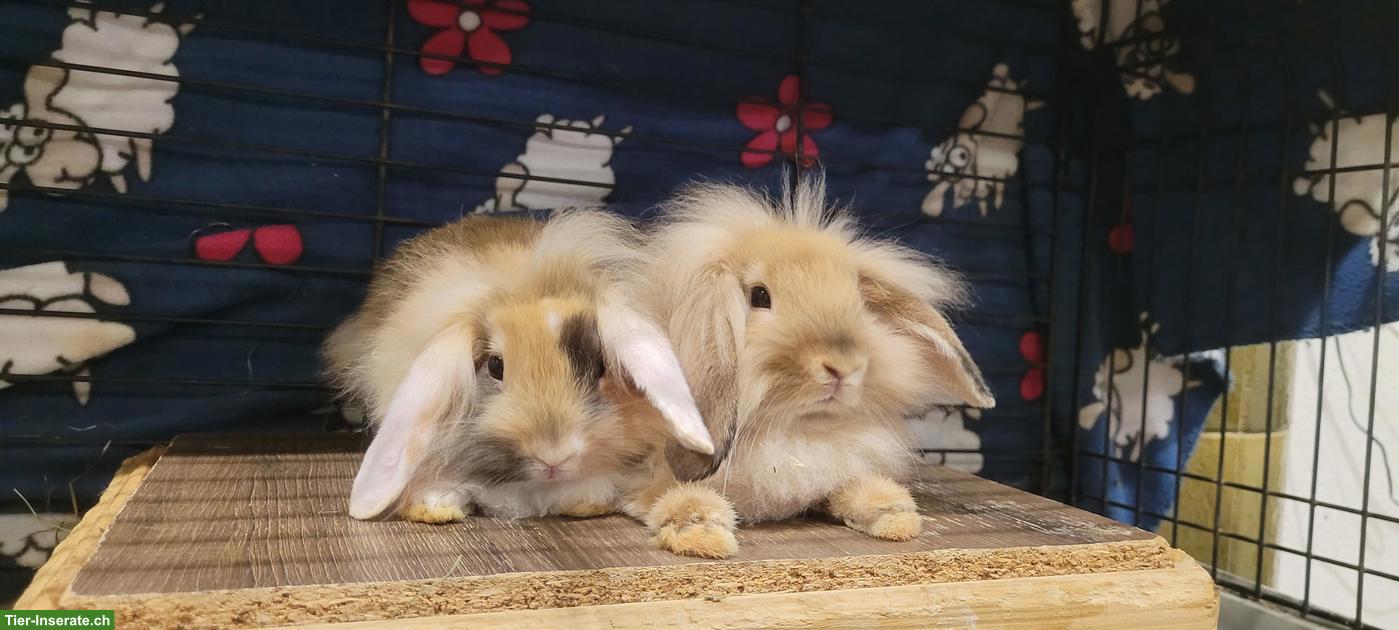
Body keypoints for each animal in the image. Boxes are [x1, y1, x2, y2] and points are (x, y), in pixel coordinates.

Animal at [629, 176, 995, 558]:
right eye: (759, 296)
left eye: (859, 301)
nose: (843, 367)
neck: (797, 429)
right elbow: (670, 494)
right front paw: (701, 530)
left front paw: (894, 514)